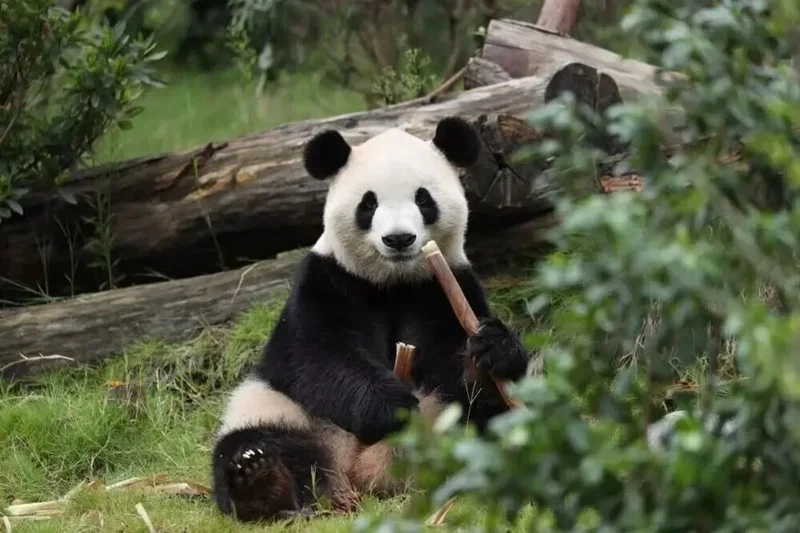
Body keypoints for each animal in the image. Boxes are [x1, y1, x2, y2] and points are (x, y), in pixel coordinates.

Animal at [210, 116, 532, 522]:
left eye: (423, 199)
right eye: (369, 203)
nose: (399, 239)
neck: (392, 282)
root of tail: (359, 474)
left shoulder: (443, 287)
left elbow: (456, 366)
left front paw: (492, 349)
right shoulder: (326, 281)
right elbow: (317, 356)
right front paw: (390, 406)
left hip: (449, 424)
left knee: (494, 424)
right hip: (280, 409)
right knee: (255, 442)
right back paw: (261, 481)